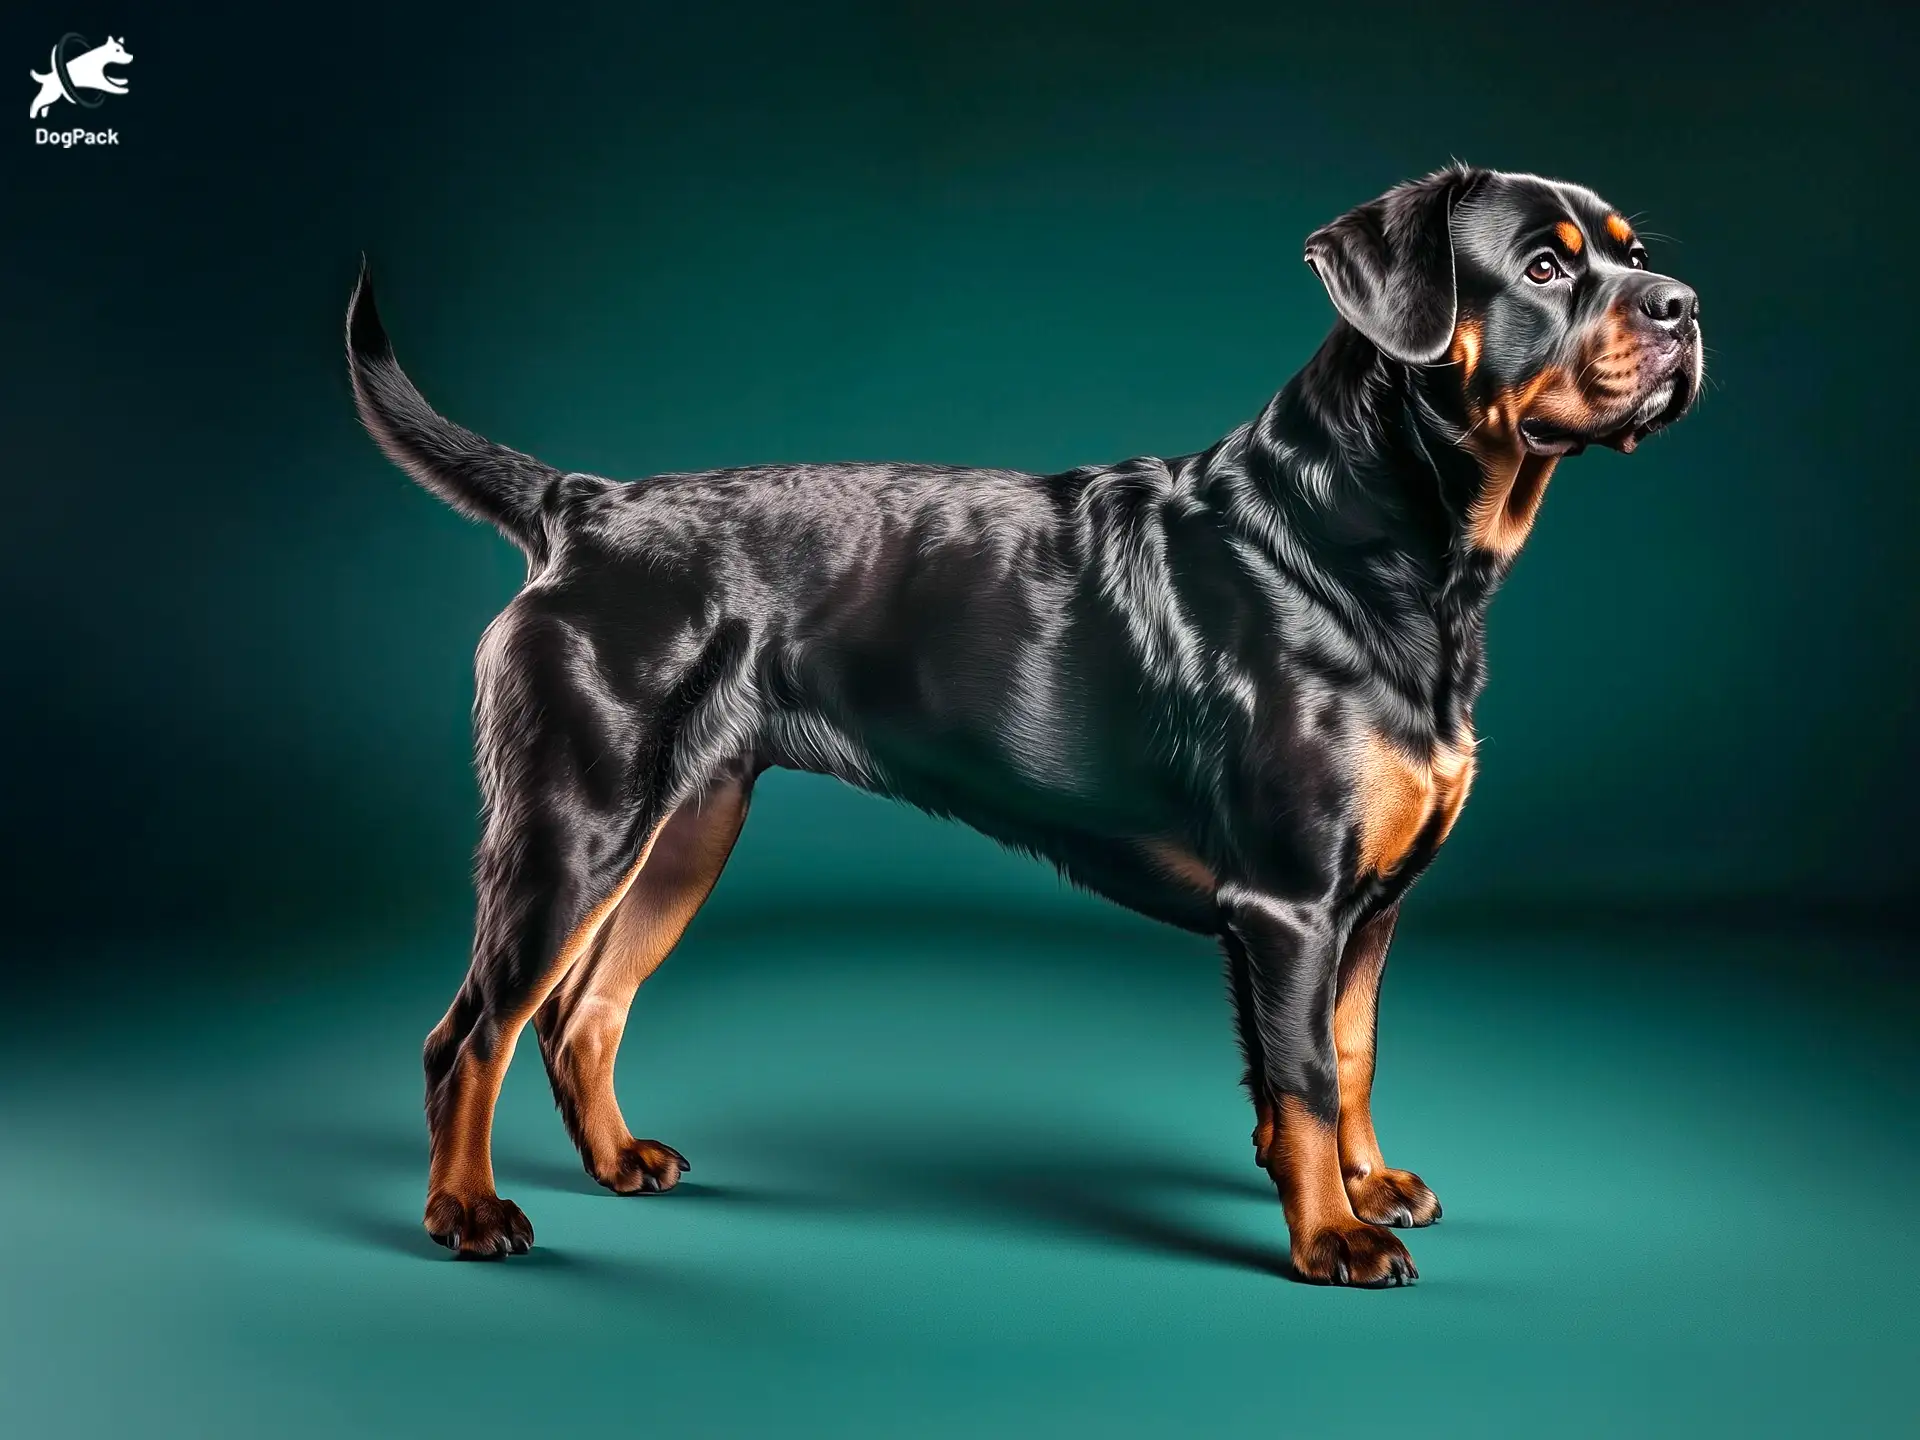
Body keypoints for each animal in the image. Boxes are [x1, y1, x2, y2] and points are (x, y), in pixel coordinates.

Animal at [345, 166, 1697, 1282]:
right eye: (1544, 266)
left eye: (1633, 251)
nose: (1684, 304)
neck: (1366, 540)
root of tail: (583, 508)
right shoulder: (1290, 901)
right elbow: (1308, 1074)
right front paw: (1331, 1238)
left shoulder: (1370, 903)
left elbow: (1350, 1053)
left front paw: (1367, 1189)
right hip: (577, 819)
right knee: (471, 1031)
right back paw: (468, 1213)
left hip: (687, 828)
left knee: (583, 1014)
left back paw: (620, 1163)